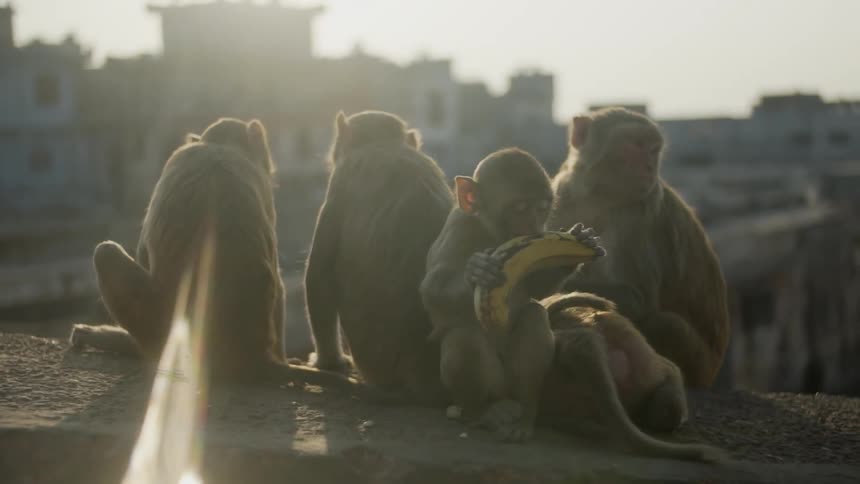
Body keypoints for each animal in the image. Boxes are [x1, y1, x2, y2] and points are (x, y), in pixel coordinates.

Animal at [420, 148, 604, 442]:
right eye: (519, 208)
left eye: (542, 208)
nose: (533, 226)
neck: (491, 234)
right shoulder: (458, 227)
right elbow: (432, 290)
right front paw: (477, 273)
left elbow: (537, 291)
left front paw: (579, 245)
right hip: (491, 385)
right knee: (464, 337)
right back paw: (480, 413)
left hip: (512, 382)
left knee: (534, 316)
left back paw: (526, 414)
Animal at [548, 107, 730, 388]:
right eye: (635, 144)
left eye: (654, 149)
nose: (649, 167)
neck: (599, 197)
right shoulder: (562, 197)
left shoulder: (639, 212)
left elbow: (638, 299)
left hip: (700, 362)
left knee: (665, 323)